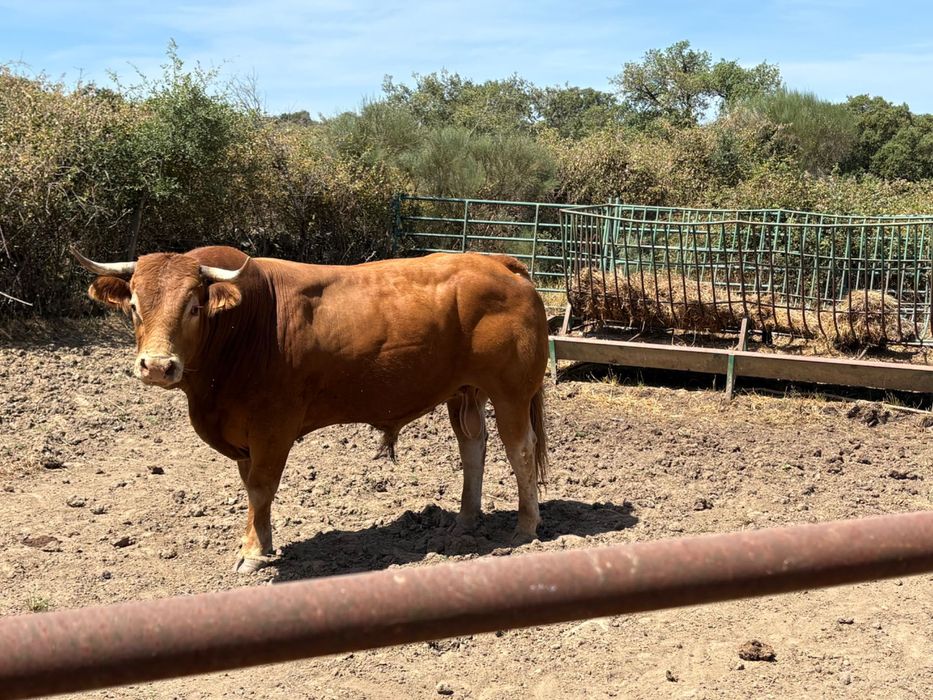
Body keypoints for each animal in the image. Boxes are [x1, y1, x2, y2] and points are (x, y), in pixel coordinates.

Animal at [73, 246, 550, 573]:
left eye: (193, 306)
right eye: (135, 306)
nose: (157, 366)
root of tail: (497, 261)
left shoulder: (272, 427)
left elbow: (261, 487)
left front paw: (252, 554)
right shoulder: (244, 434)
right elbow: (251, 487)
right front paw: (260, 542)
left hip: (511, 392)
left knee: (520, 450)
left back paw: (525, 526)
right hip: (465, 391)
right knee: (473, 447)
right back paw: (465, 521)